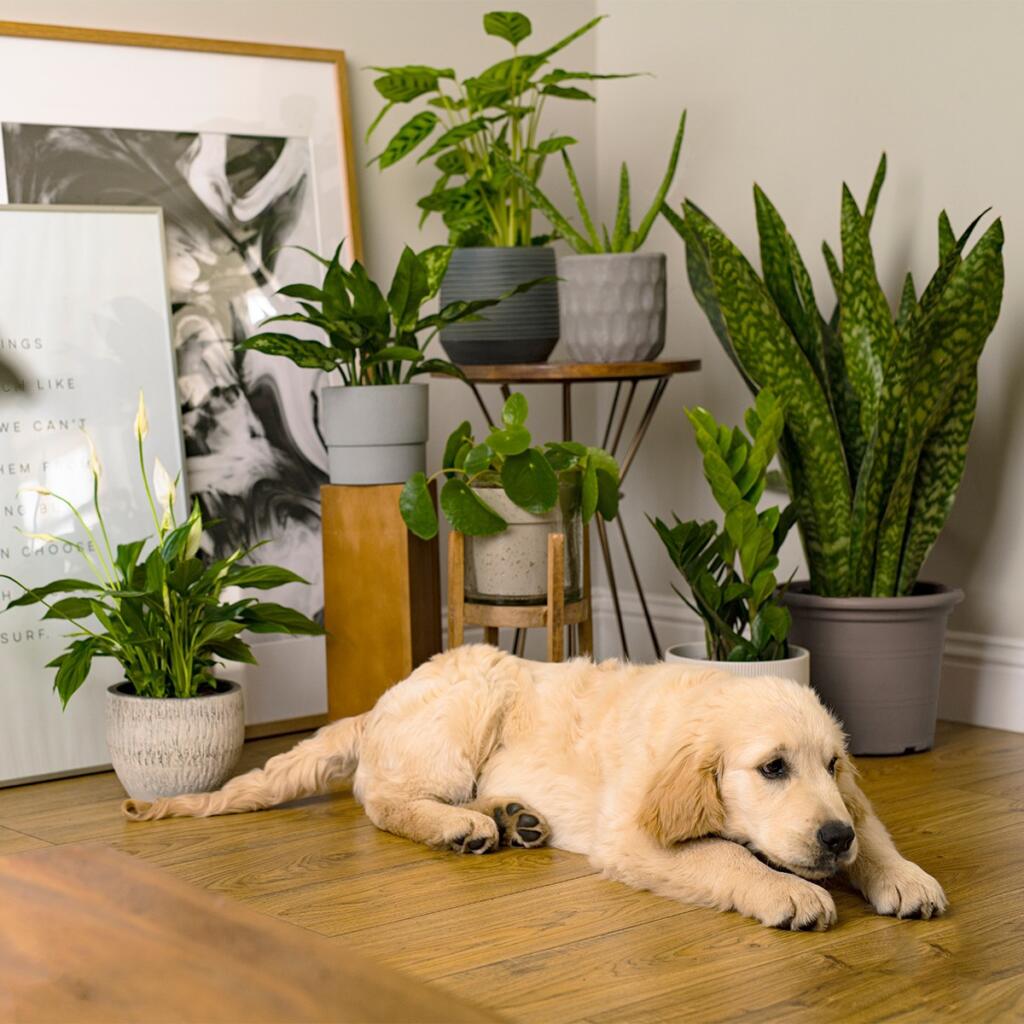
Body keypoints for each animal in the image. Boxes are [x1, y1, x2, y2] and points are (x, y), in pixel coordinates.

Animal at [123, 647, 946, 929]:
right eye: (772, 767)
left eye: (832, 765)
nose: (831, 839)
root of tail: (383, 699)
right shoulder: (634, 835)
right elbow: (727, 855)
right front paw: (791, 891)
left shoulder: (850, 806)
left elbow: (875, 829)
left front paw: (902, 875)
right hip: (470, 701)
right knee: (382, 802)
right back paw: (461, 826)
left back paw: (512, 816)